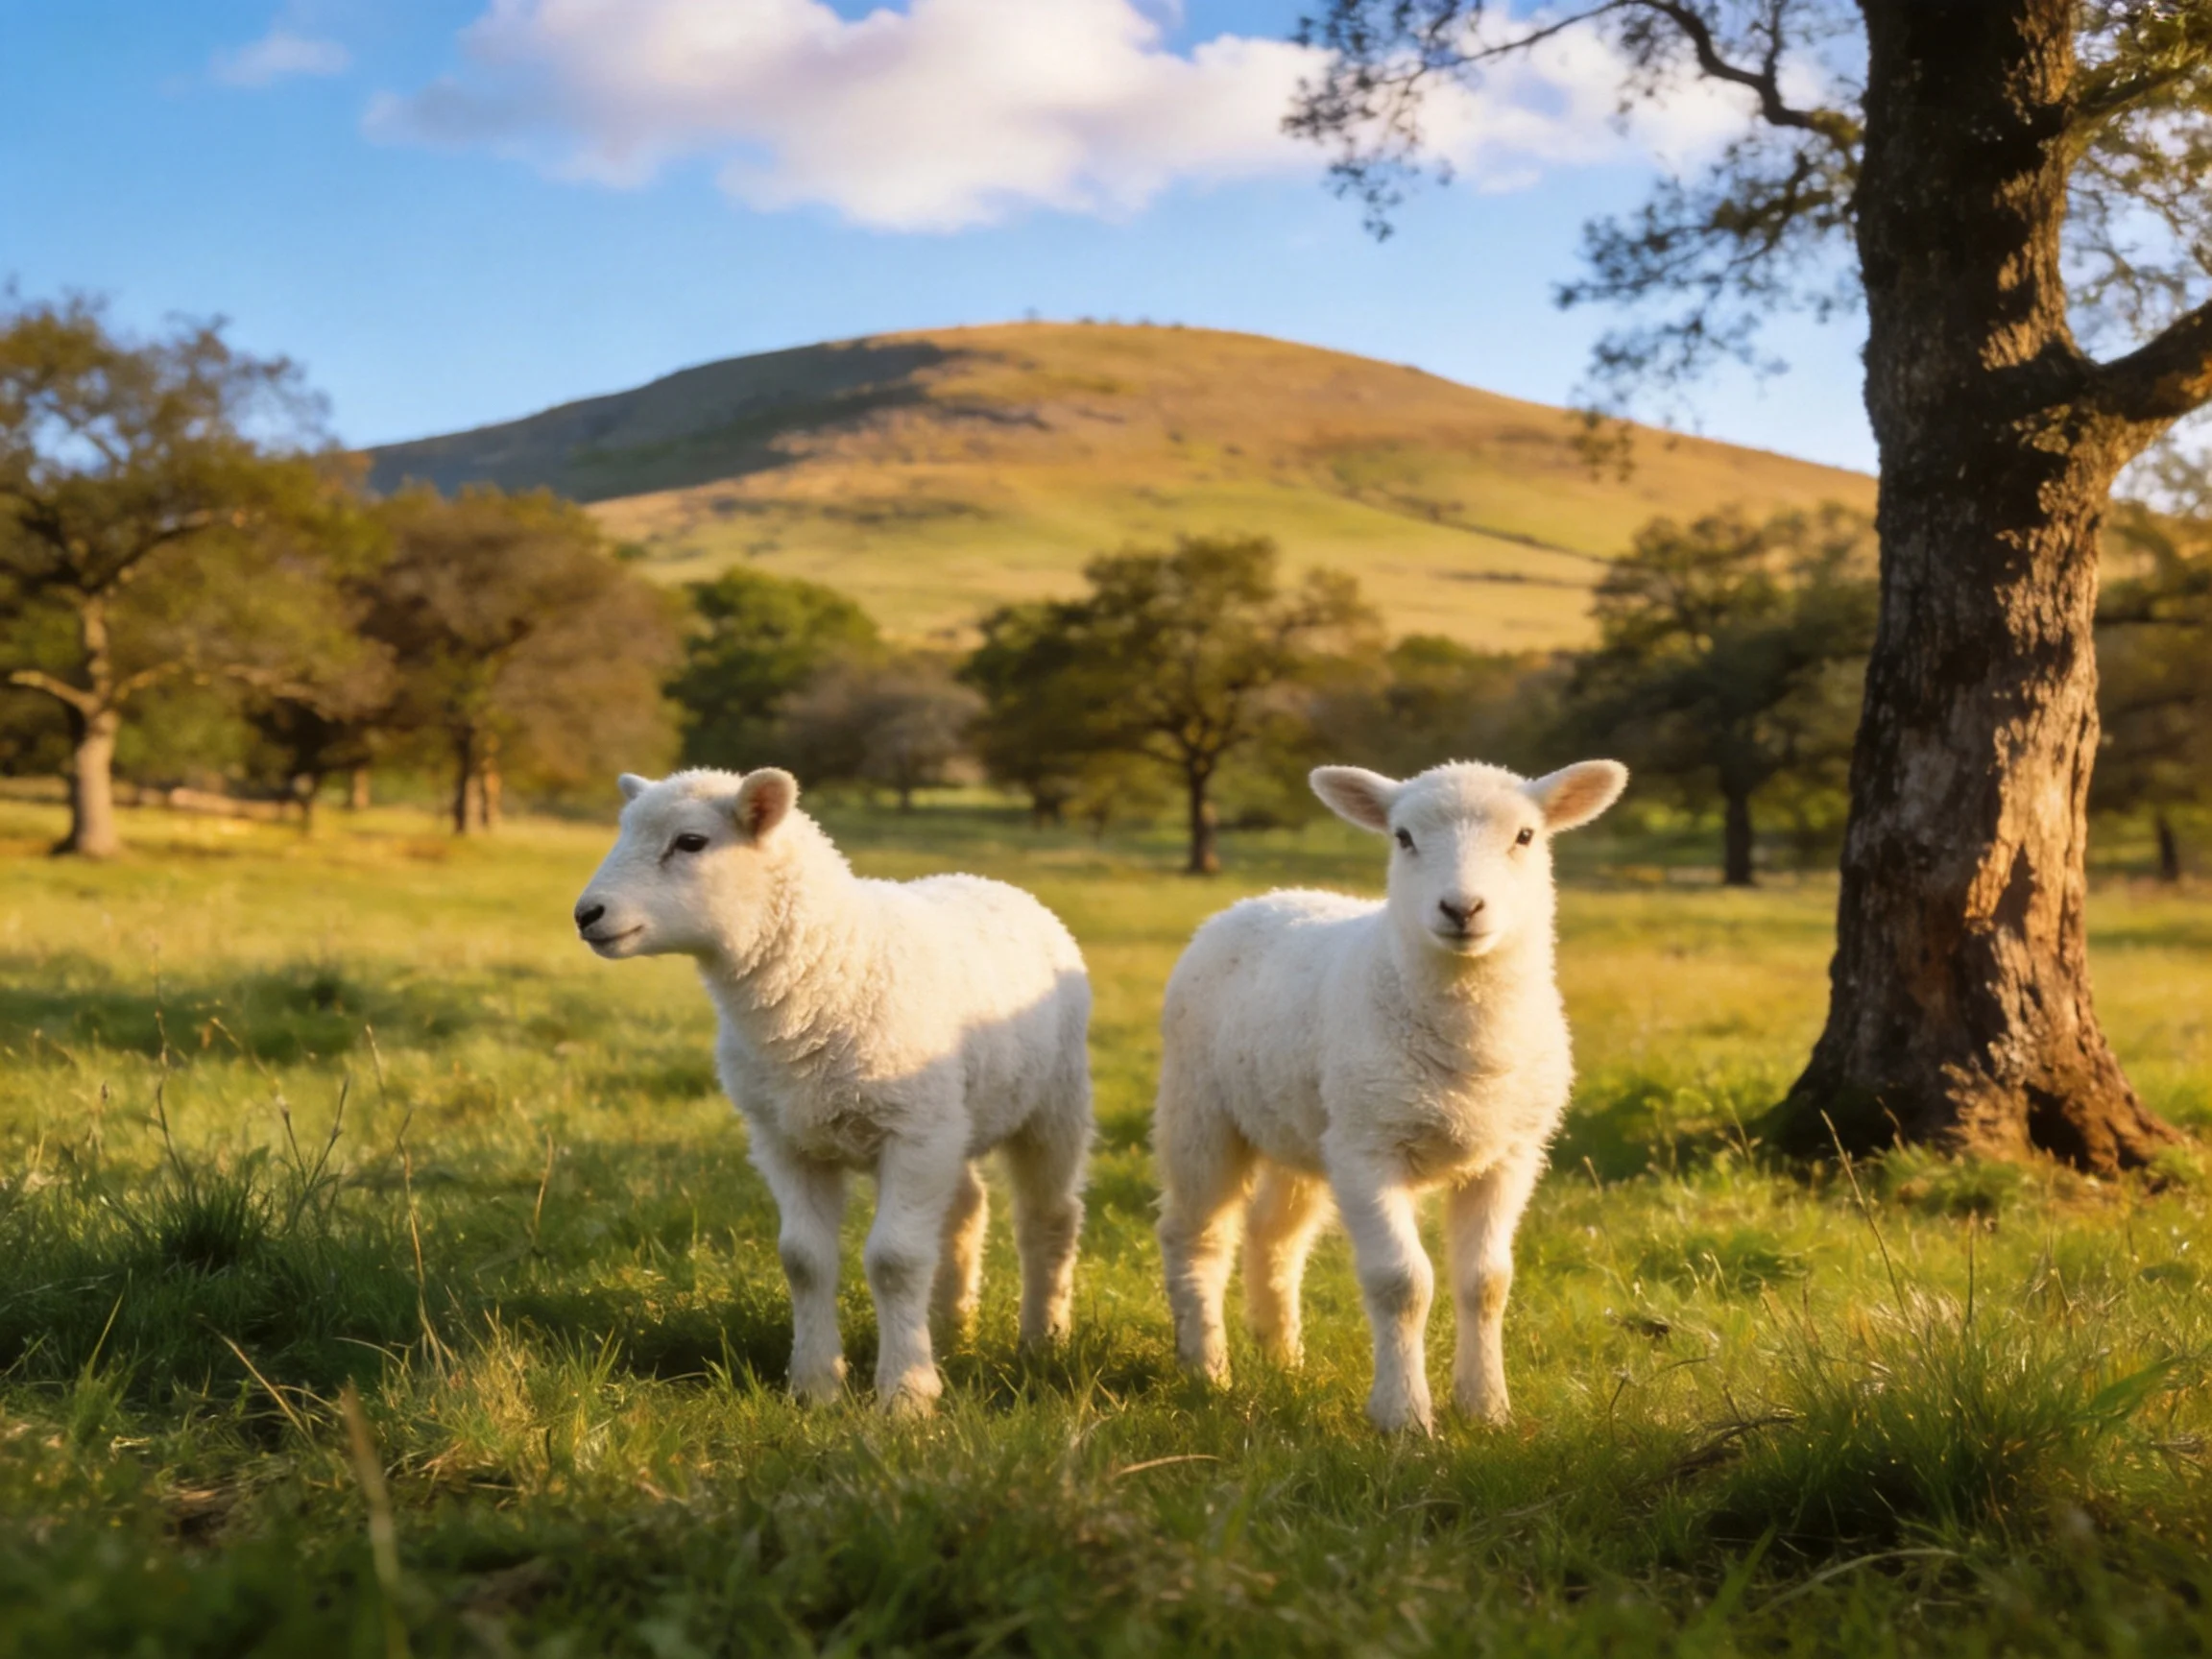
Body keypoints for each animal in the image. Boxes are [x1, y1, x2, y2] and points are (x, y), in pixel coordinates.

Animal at [572, 767, 1092, 1416]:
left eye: (691, 842)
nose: (586, 914)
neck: (832, 968)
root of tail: (994, 883)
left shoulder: (911, 1130)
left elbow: (895, 1260)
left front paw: (906, 1395)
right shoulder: (785, 1138)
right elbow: (804, 1260)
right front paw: (816, 1384)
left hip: (1051, 1103)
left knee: (1049, 1216)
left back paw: (1043, 1338)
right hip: (954, 1117)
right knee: (966, 1206)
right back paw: (949, 1330)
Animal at [1152, 758, 1627, 1433]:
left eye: (1526, 836)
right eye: (1402, 837)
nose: (1461, 907)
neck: (1467, 1041)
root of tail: (1262, 898)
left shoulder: (1510, 1154)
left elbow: (1487, 1282)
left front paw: (1486, 1408)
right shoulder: (1368, 1149)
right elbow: (1401, 1283)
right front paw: (1402, 1416)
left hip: (1304, 1124)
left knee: (1275, 1234)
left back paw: (1283, 1358)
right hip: (1202, 1108)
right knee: (1197, 1235)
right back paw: (1206, 1368)